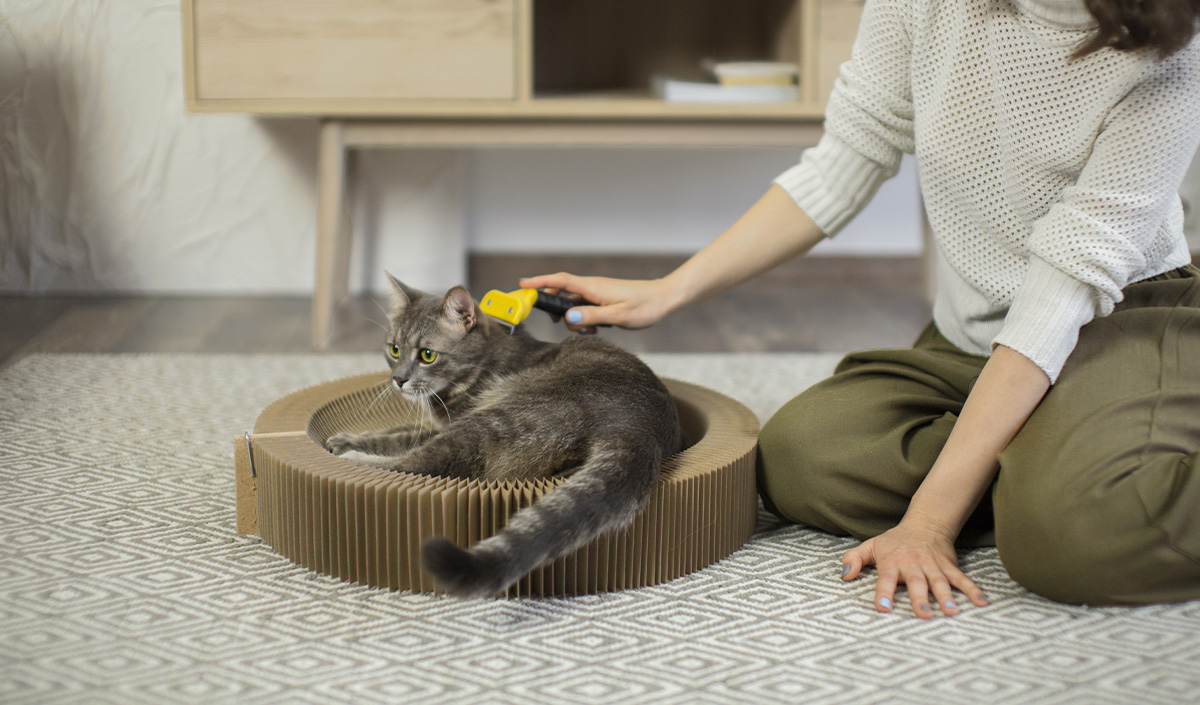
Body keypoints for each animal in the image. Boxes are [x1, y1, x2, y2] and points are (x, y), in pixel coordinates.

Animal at [326, 278, 686, 597]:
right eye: (394, 349)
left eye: (427, 355)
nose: (398, 380)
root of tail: (638, 426)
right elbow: (392, 431)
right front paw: (345, 437)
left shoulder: (448, 423)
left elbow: (399, 440)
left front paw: (348, 445)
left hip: (493, 419)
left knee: (421, 464)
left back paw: (356, 461)